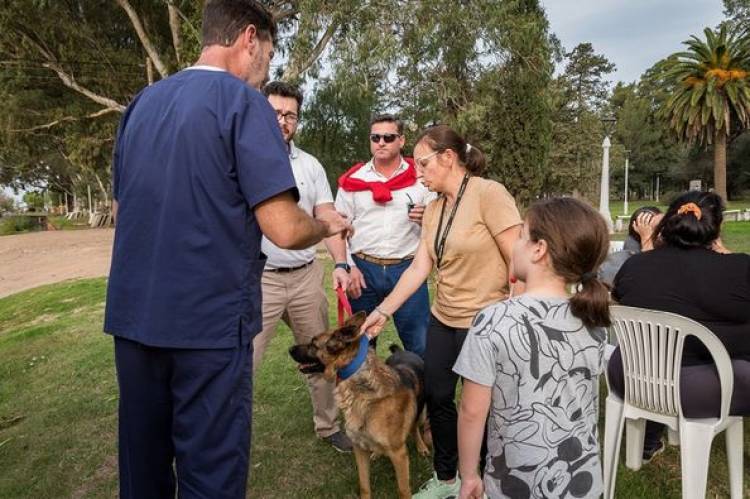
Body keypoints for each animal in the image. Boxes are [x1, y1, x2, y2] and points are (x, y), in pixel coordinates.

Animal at [288, 312, 428, 499]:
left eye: (313, 343)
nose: (289, 349)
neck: (361, 392)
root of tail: (404, 352)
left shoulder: (399, 455)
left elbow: (403, 490)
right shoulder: (358, 449)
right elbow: (364, 485)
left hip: (422, 412)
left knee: (415, 427)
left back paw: (422, 446)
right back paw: (377, 452)